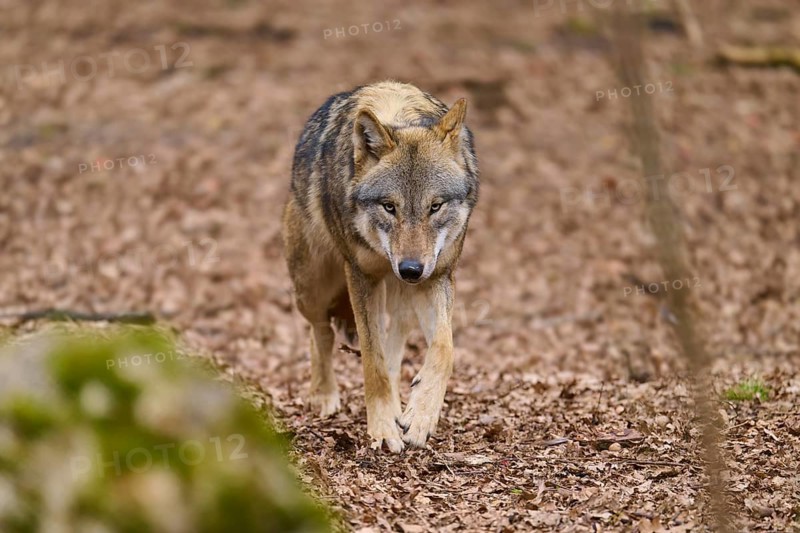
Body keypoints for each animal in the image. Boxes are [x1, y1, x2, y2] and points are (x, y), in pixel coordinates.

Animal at [282, 81, 479, 452]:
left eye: (435, 206)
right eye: (389, 206)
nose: (410, 269)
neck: (399, 114)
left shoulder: (437, 276)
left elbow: (444, 349)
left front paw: (420, 415)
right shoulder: (362, 278)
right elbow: (372, 363)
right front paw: (385, 428)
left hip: (401, 299)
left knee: (394, 345)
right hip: (312, 288)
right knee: (321, 331)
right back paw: (323, 395)